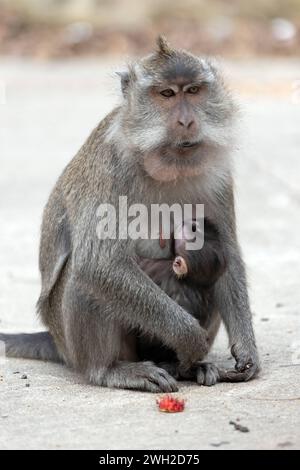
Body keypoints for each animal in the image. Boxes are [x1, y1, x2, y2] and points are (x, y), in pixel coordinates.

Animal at [0, 37, 258, 392]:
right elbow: (99, 264)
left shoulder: (216, 173)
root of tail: (58, 342)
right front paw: (190, 337)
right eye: (166, 94)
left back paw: (185, 367)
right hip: (75, 342)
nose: (186, 122)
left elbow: (227, 252)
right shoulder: (111, 168)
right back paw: (109, 369)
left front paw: (246, 350)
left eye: (193, 90)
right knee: (81, 277)